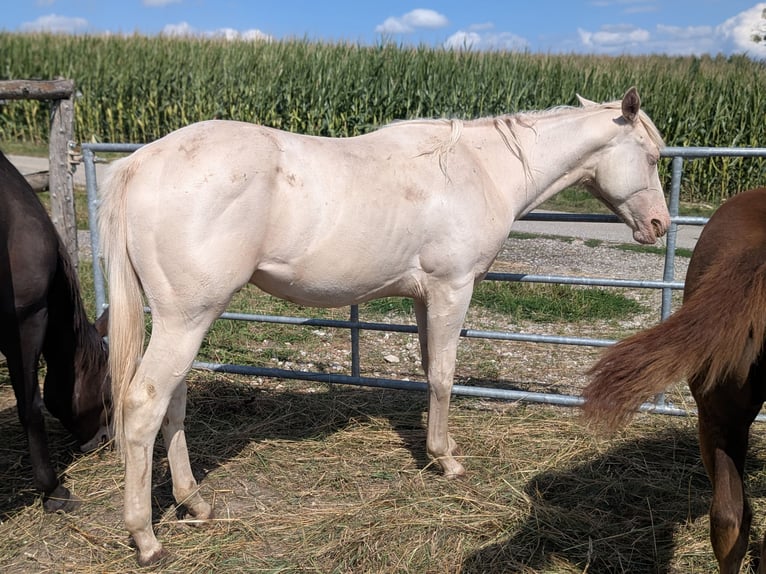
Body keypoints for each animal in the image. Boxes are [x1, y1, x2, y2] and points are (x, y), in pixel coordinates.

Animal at [98, 87, 669, 565]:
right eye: (651, 157)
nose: (660, 225)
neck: (480, 169)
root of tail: (140, 163)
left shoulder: (424, 297)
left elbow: (429, 370)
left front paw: (444, 448)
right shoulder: (452, 289)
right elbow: (443, 375)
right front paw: (446, 462)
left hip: (184, 320)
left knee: (174, 403)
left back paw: (196, 504)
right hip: (187, 319)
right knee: (145, 405)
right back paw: (146, 539)